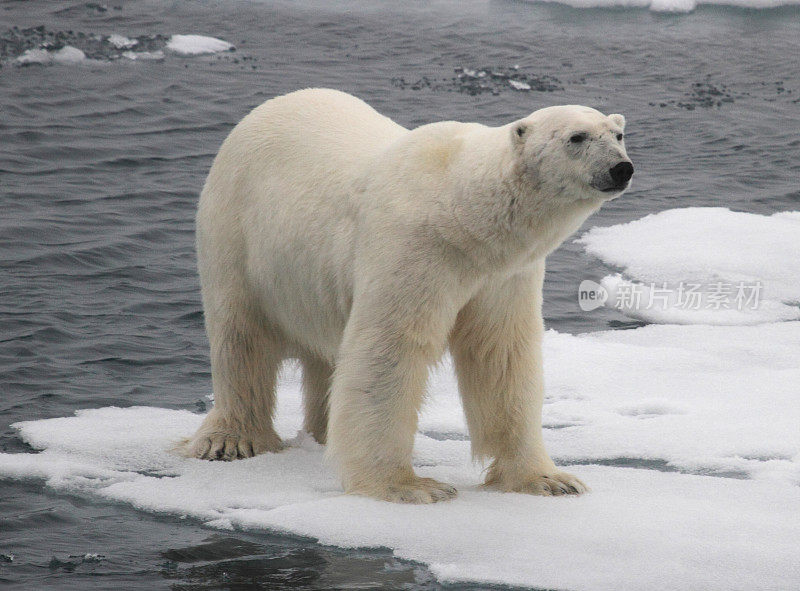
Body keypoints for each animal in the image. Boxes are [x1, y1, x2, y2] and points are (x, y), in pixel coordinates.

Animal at [181, 88, 632, 504]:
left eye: (618, 134)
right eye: (576, 137)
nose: (621, 168)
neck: (461, 215)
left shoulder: (504, 276)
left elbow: (501, 354)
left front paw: (549, 480)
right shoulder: (413, 247)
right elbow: (389, 351)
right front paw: (408, 486)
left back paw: (323, 435)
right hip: (236, 234)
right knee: (241, 337)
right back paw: (231, 440)